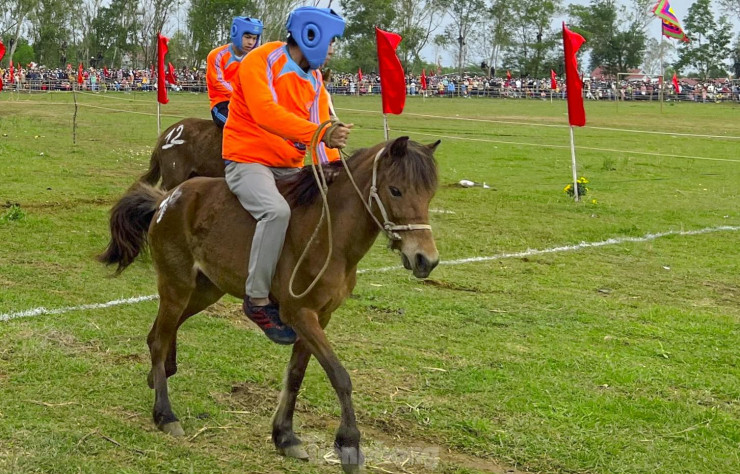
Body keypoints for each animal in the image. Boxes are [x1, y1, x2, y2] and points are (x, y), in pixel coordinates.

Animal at [98, 135, 440, 472]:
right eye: (395, 190)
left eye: (429, 194)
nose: (426, 260)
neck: (326, 235)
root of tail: (167, 199)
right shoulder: (300, 313)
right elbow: (340, 377)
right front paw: (349, 445)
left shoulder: (321, 316)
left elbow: (296, 375)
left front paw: (285, 436)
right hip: (176, 286)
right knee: (159, 338)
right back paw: (165, 414)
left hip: (205, 291)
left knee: (160, 334)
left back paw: (158, 378)